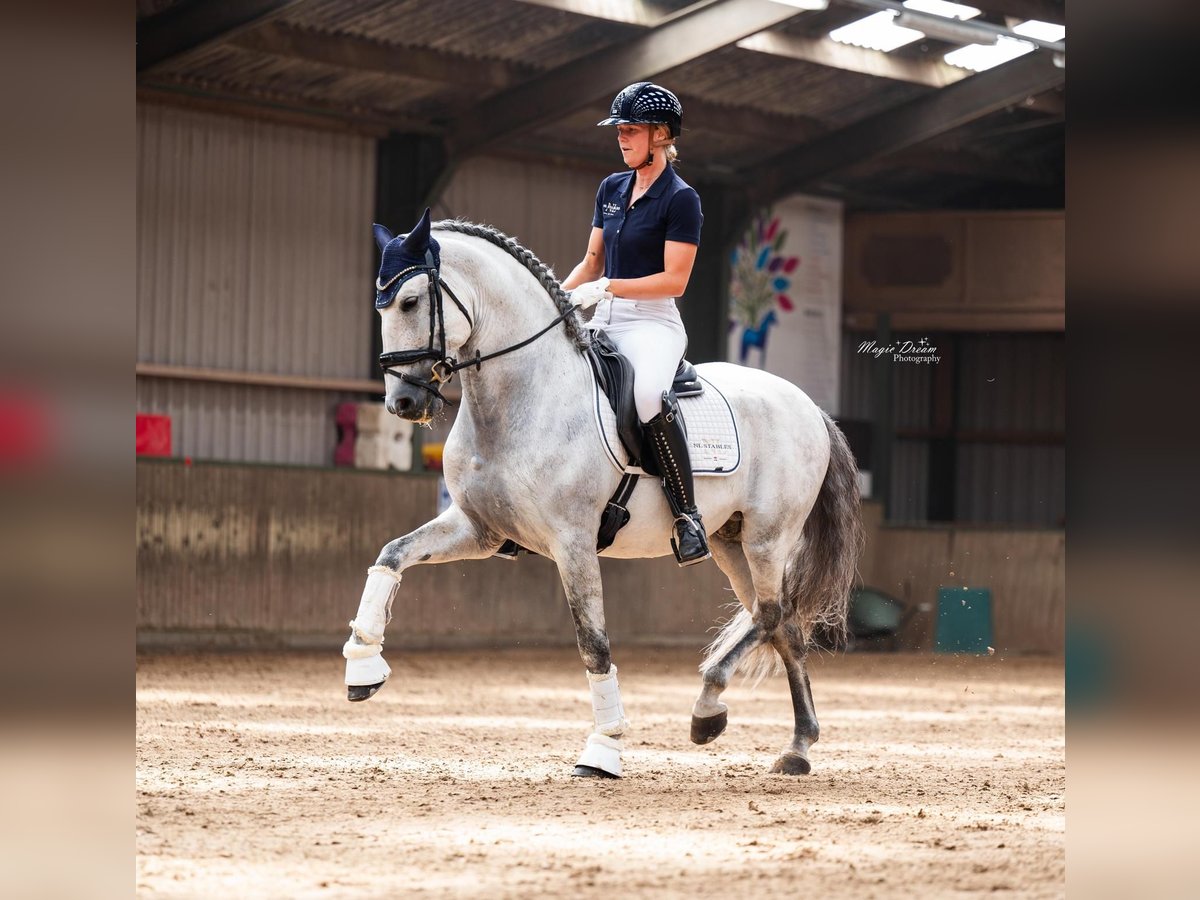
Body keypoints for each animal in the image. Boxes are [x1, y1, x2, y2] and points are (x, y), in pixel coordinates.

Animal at [342, 209, 863, 779]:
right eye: (381, 304)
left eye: (411, 301)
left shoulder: (572, 542)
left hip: (769, 538)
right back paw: (793, 745)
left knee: (771, 615)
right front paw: (363, 668)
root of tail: (809, 406)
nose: (402, 403)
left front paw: (604, 749)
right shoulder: (480, 529)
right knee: (781, 623)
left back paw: (714, 712)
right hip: (731, 541)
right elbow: (391, 554)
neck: (524, 396)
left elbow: (593, 644)